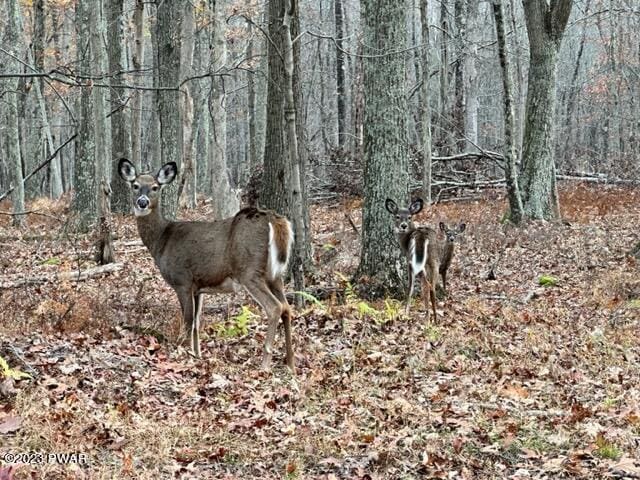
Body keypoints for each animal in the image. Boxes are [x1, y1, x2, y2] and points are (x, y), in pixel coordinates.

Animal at [119, 159, 296, 370]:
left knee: (275, 307)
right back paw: (291, 363)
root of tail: (273, 219)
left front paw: (185, 355)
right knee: (287, 308)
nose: (142, 202)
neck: (162, 240)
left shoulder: (183, 281)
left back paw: (265, 364)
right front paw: (197, 354)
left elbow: (188, 321)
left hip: (249, 270)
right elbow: (197, 323)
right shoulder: (198, 288)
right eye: (135, 185)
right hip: (275, 274)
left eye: (155, 187)